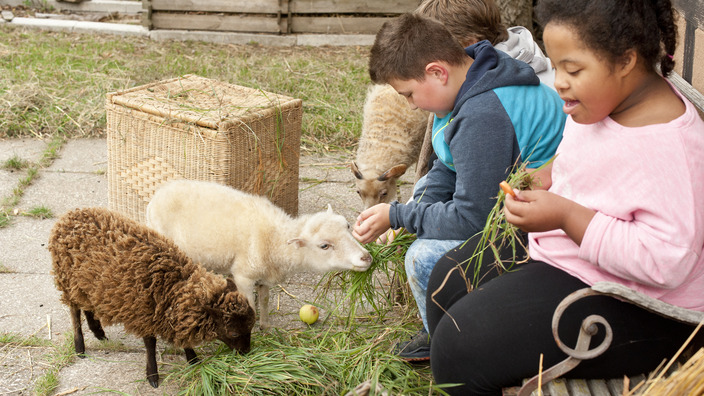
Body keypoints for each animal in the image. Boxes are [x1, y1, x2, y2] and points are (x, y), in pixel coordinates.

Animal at [48, 209, 256, 388]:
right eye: (234, 333)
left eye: (251, 326)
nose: (246, 352)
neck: (171, 284)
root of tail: (67, 217)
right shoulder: (144, 313)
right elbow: (150, 344)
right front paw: (153, 376)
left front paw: (194, 360)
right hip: (66, 278)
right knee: (74, 311)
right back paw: (79, 347)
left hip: (85, 283)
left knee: (86, 305)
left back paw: (98, 332)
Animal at [146, 179, 372, 328]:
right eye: (324, 246)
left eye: (348, 226)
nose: (366, 257)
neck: (274, 239)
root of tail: (158, 193)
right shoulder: (244, 276)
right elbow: (251, 307)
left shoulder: (265, 277)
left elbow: (264, 300)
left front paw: (266, 327)